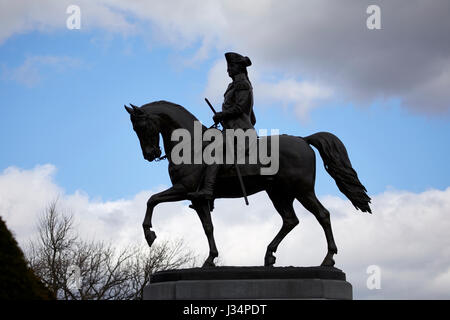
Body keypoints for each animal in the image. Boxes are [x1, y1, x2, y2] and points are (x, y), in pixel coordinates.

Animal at [125, 100, 370, 268]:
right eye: (134, 129)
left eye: (142, 126)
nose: (150, 154)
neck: (190, 145)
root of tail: (303, 140)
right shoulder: (198, 199)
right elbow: (208, 227)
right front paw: (210, 259)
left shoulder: (184, 190)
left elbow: (151, 200)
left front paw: (149, 234)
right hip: (279, 194)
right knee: (290, 220)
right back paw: (269, 255)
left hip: (302, 190)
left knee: (322, 215)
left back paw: (328, 258)